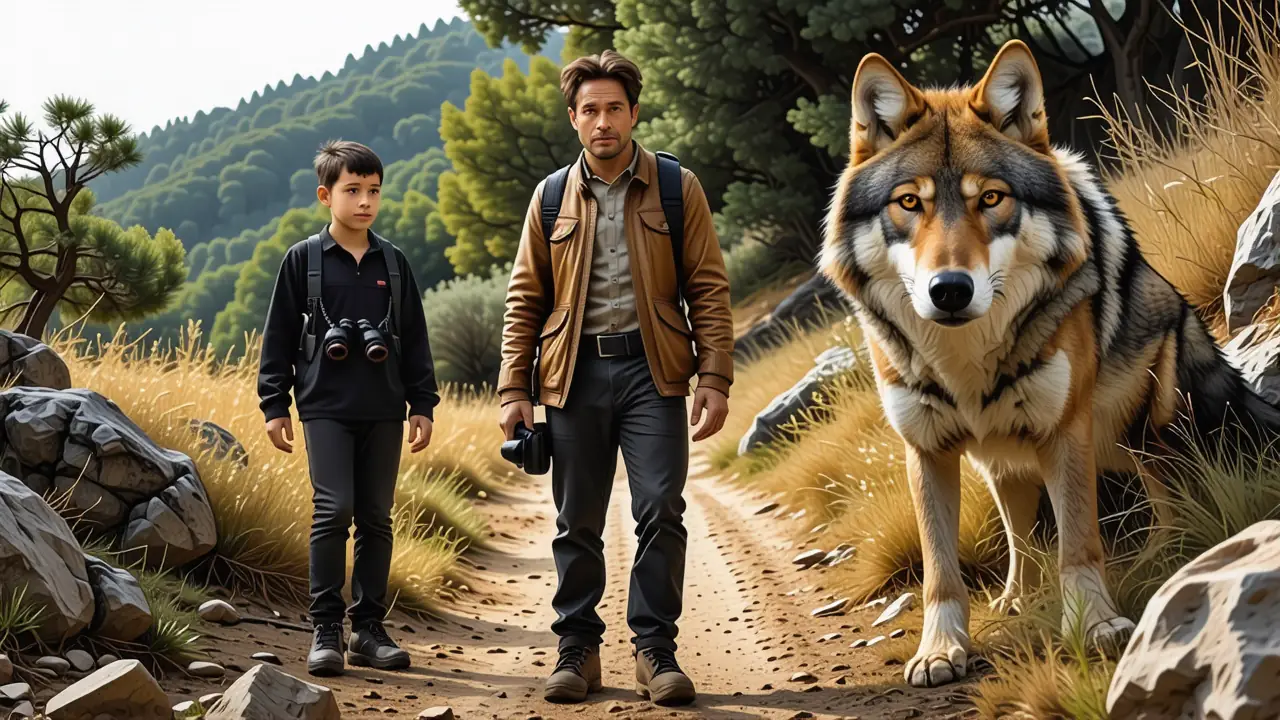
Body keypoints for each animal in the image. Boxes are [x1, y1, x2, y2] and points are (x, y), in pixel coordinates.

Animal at [819, 39, 1280, 688]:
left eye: (991, 198)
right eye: (909, 202)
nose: (950, 290)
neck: (967, 358)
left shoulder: (1065, 432)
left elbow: (1078, 544)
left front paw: (1095, 625)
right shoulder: (927, 450)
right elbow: (941, 571)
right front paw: (939, 651)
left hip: (1146, 422)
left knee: (1169, 492)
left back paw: (1160, 555)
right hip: (1005, 457)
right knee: (1019, 532)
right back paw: (1017, 597)